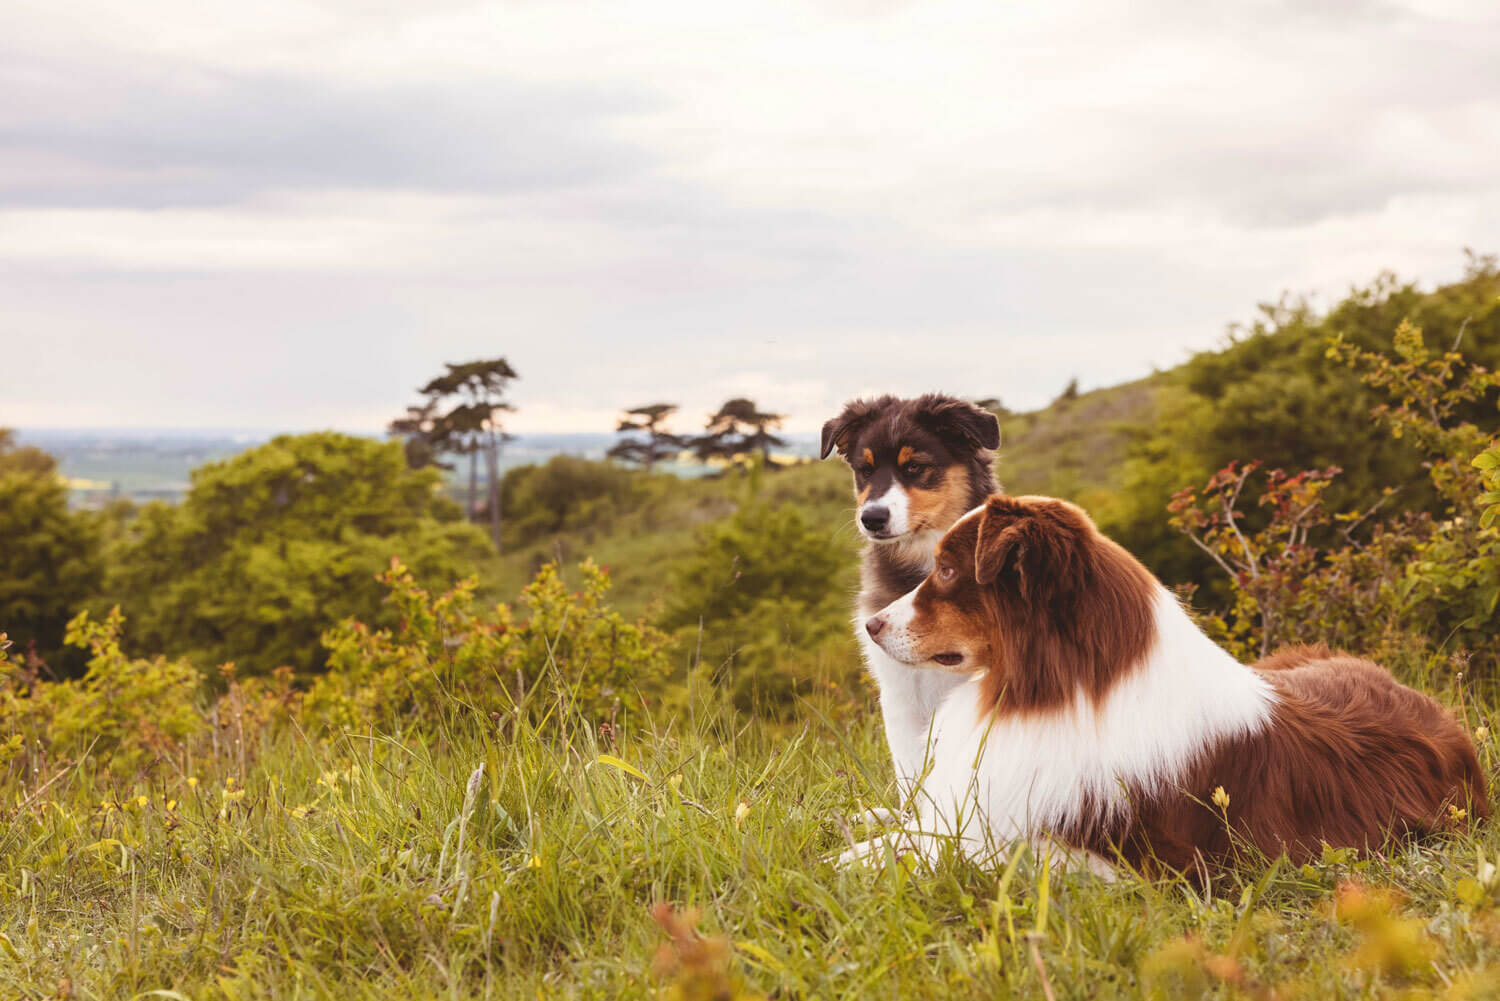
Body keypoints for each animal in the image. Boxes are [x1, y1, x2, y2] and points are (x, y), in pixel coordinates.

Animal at [852, 492, 1482, 876]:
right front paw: (867, 838)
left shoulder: (1153, 868)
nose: (871, 625)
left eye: (947, 571)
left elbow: (956, 850)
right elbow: (917, 831)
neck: (1062, 691)